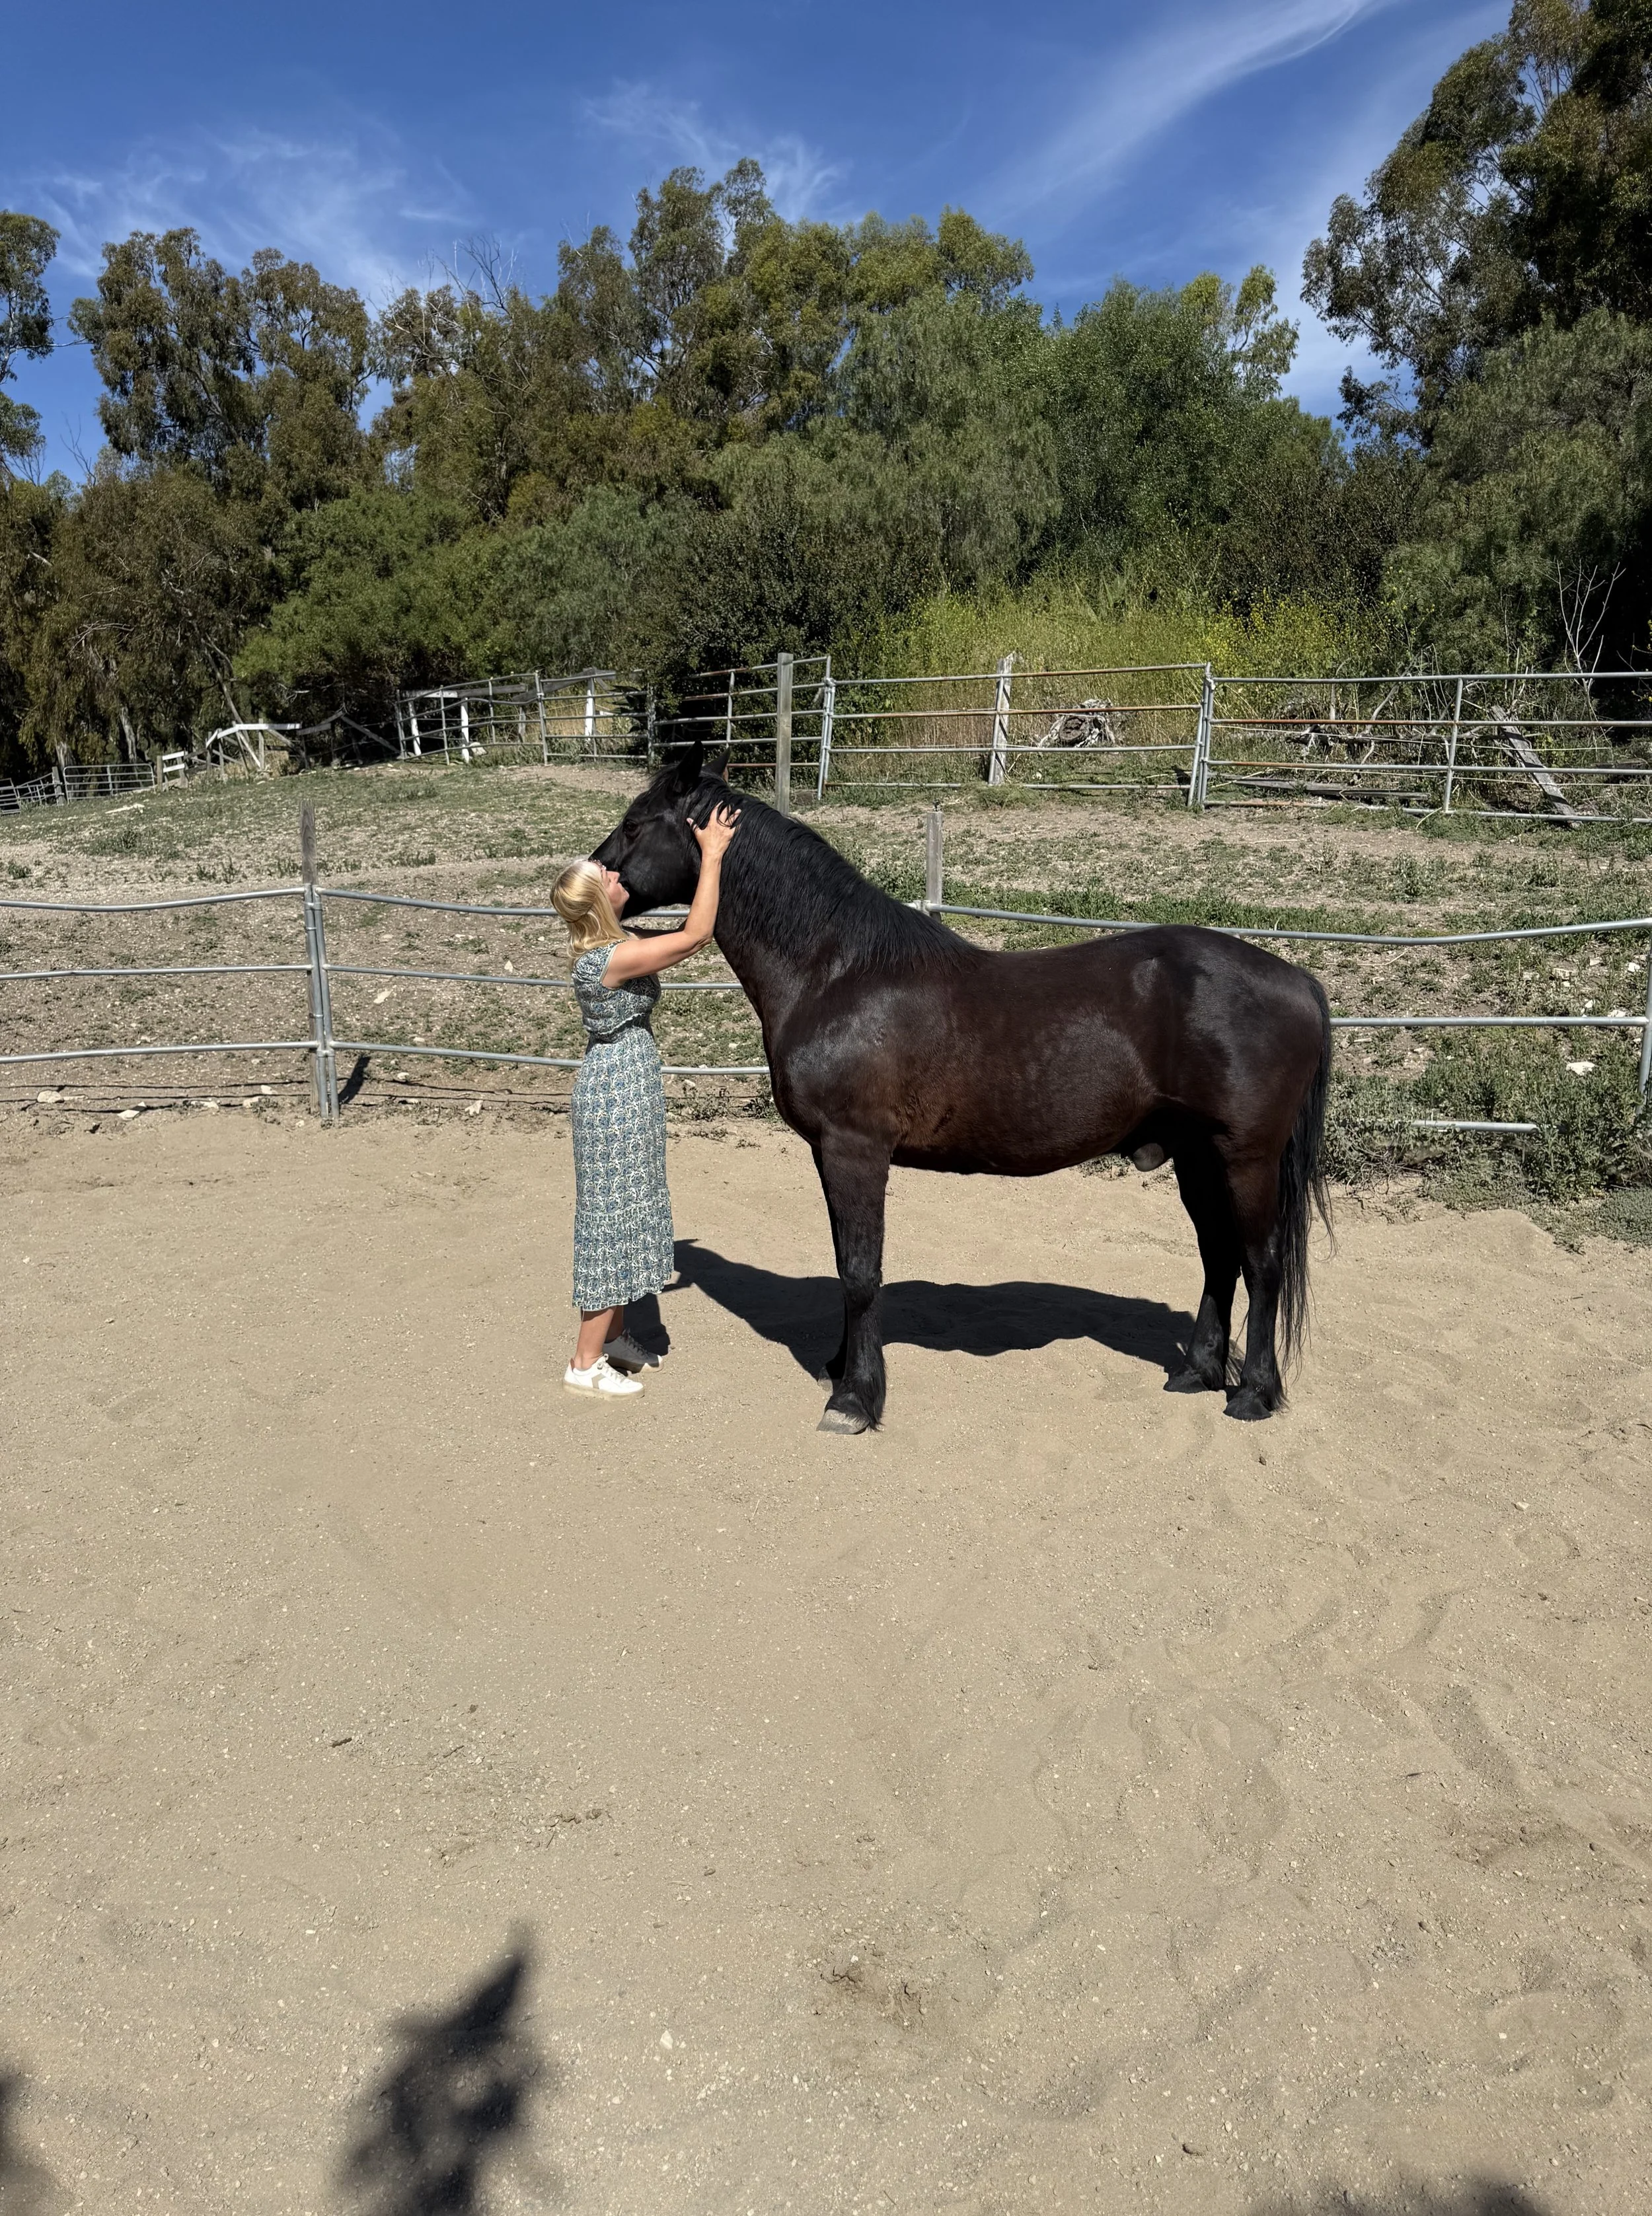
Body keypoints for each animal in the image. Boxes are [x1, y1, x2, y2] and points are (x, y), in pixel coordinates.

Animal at [591, 742, 1333, 1434]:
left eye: (634, 824)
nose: (591, 881)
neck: (836, 972)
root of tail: (1297, 980)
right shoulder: (830, 1154)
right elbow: (846, 1264)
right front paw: (841, 1368)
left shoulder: (854, 1150)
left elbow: (861, 1273)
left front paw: (854, 1399)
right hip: (1197, 1157)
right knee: (1218, 1258)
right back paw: (1198, 1372)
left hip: (1245, 1158)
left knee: (1261, 1263)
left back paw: (1252, 1394)